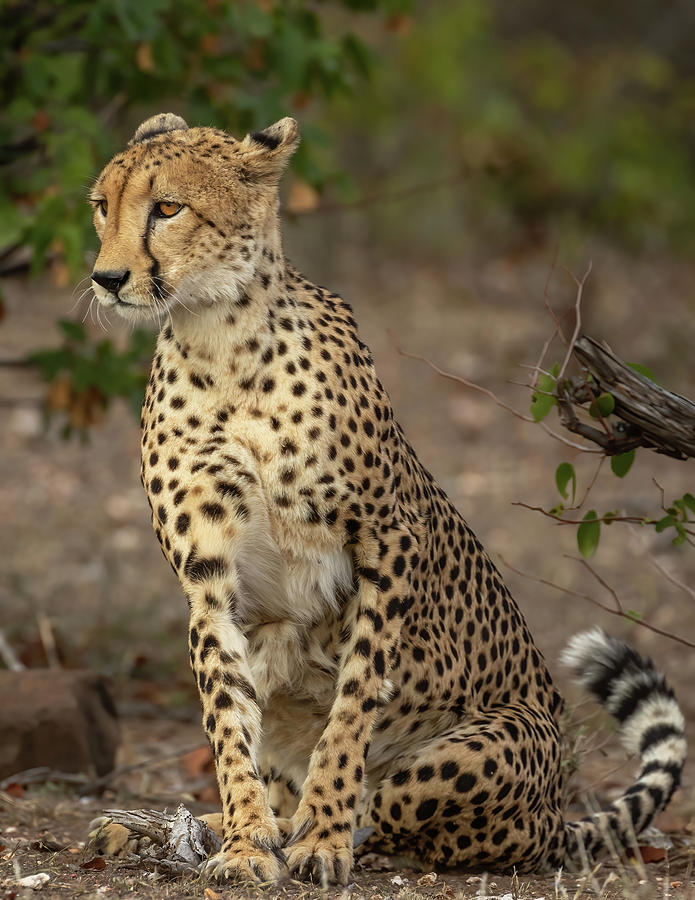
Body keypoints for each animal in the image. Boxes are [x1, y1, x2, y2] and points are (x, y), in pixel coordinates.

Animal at [87, 110, 684, 880]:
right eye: (103, 205)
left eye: (166, 208)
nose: (106, 278)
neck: (219, 338)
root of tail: (554, 815)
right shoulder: (209, 577)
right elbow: (225, 713)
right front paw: (247, 840)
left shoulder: (389, 538)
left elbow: (354, 701)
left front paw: (320, 834)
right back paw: (181, 826)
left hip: (487, 747)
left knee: (402, 810)